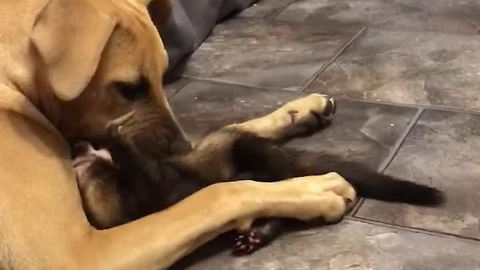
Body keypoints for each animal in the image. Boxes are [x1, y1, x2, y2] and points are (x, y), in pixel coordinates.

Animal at [0, 1, 358, 268]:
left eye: (163, 75)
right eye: (128, 88)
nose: (182, 149)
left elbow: (230, 129)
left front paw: (299, 110)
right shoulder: (77, 254)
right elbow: (222, 193)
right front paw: (310, 189)